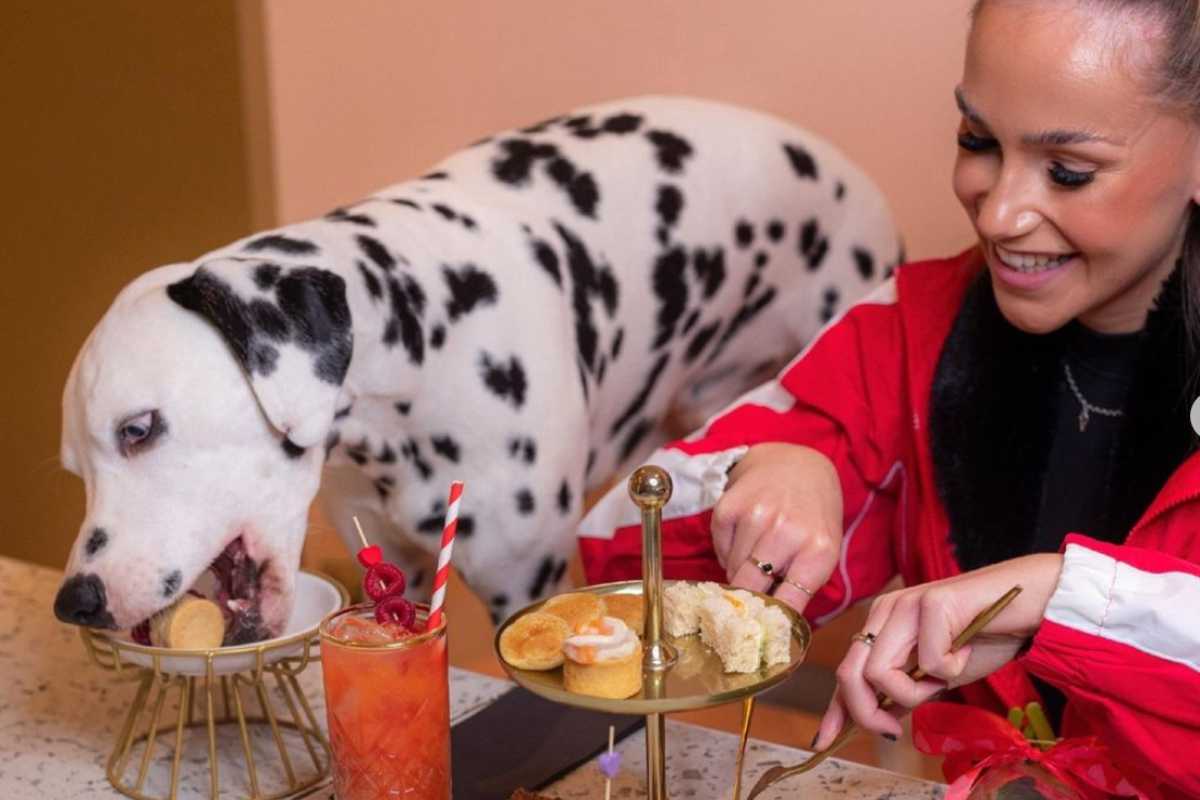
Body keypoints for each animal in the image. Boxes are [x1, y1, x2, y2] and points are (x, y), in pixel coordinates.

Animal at [56, 95, 902, 642]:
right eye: (75, 469)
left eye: (138, 428)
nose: (75, 603)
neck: (424, 340)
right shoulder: (389, 567)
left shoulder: (527, 583)